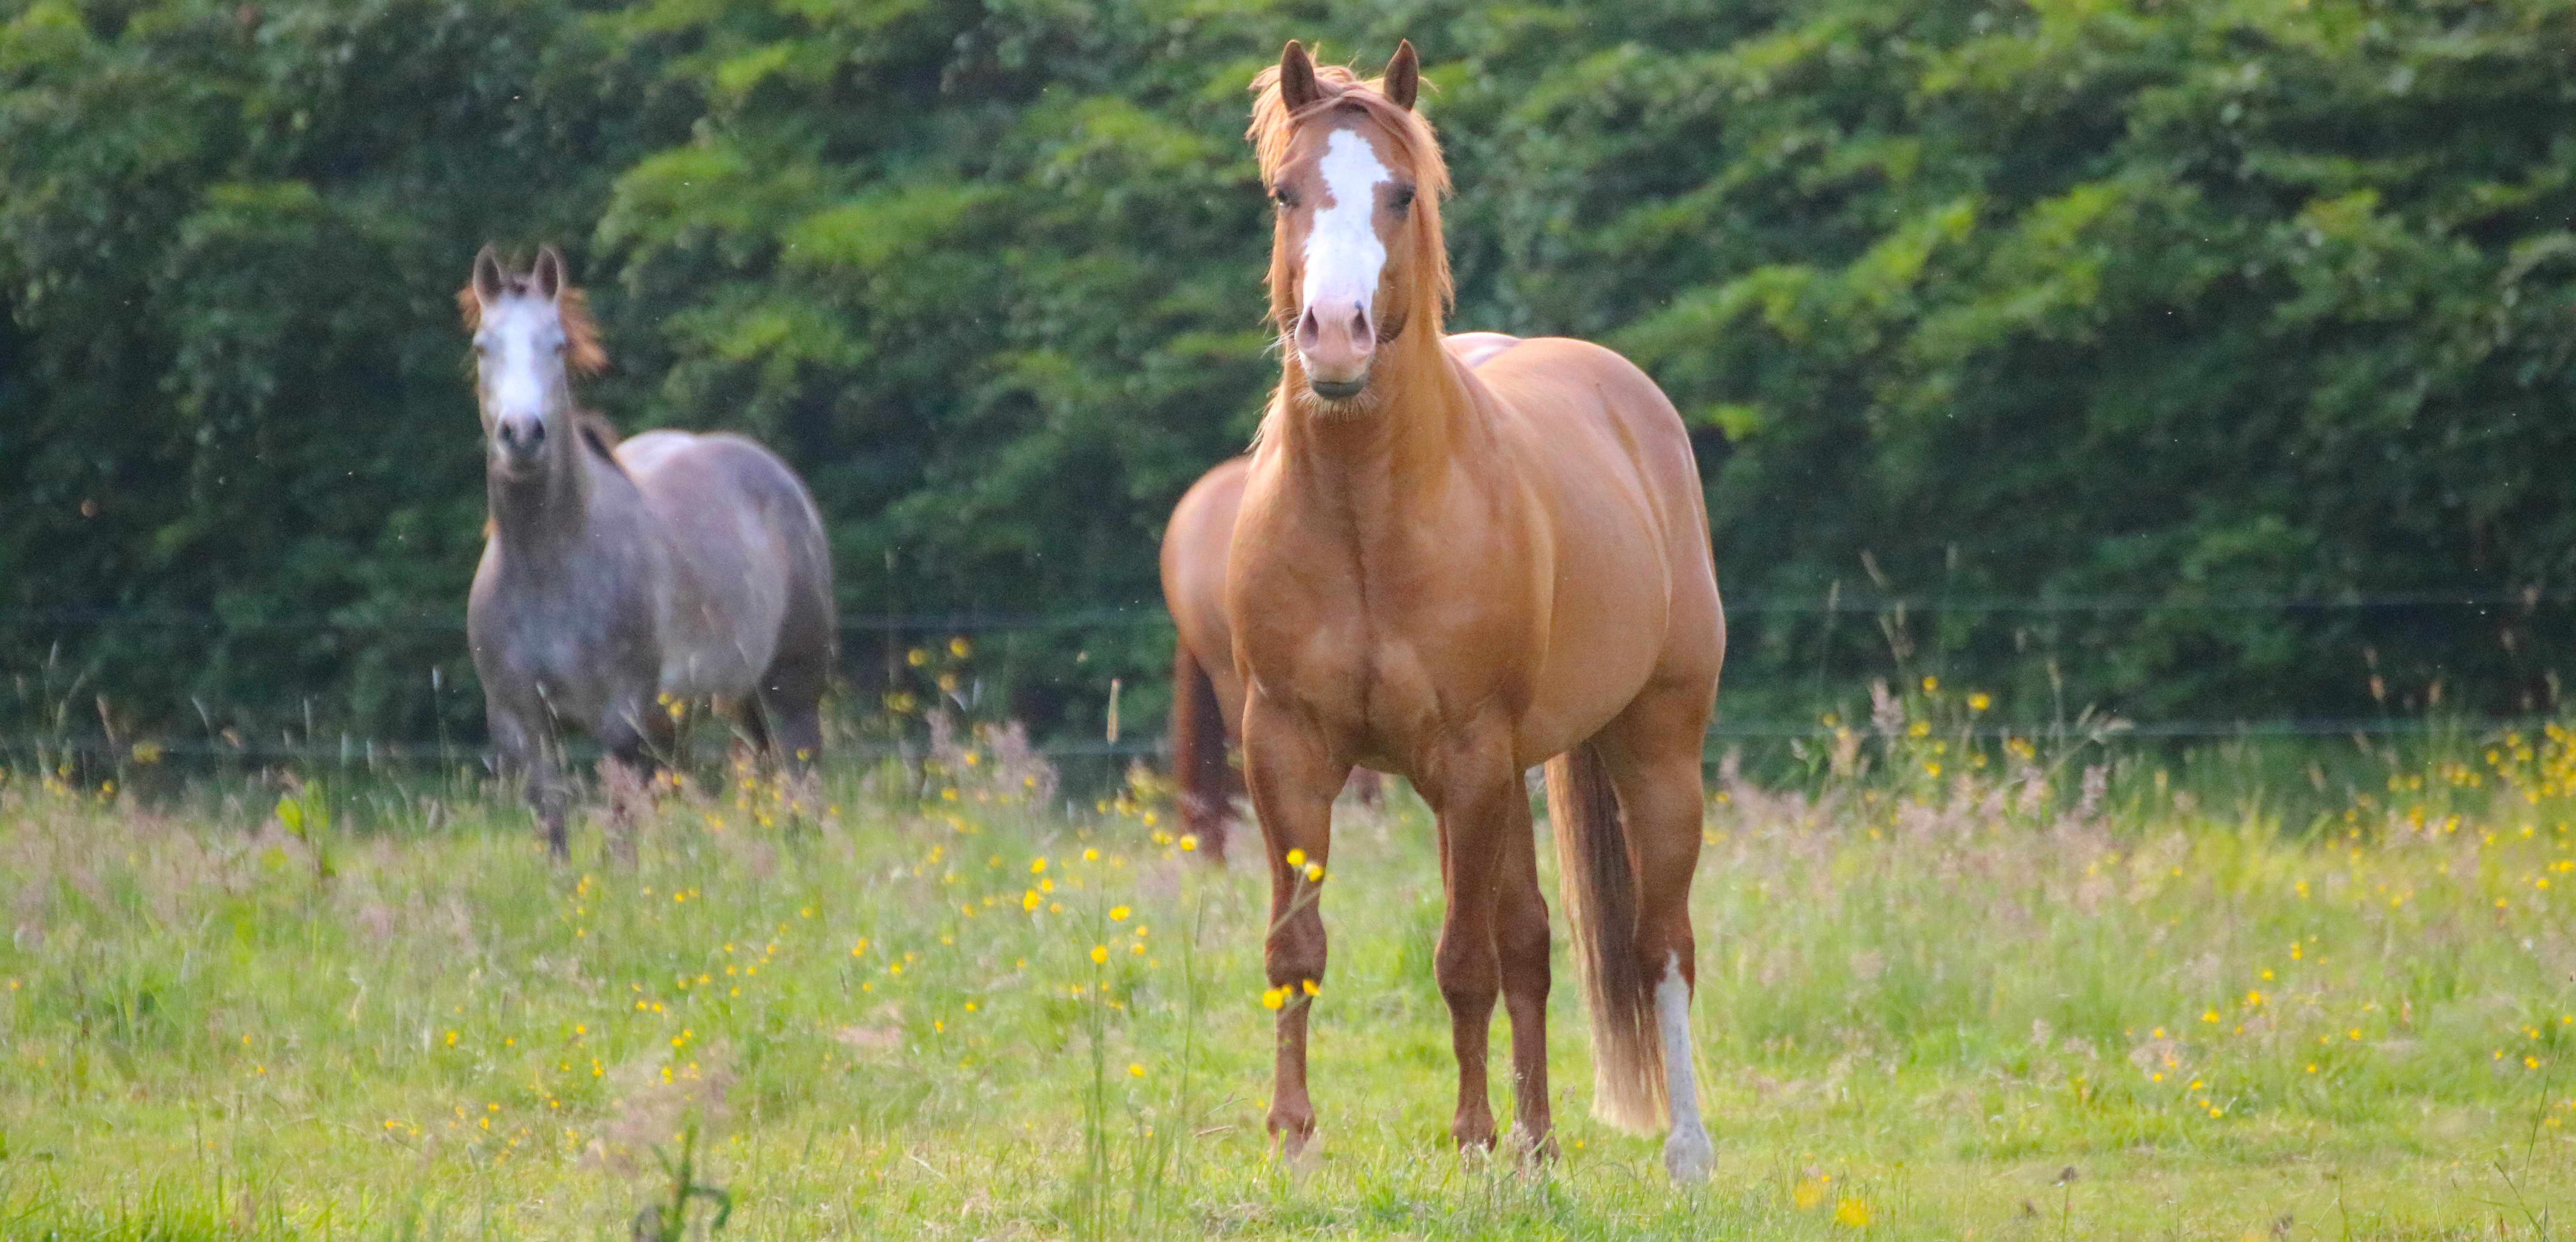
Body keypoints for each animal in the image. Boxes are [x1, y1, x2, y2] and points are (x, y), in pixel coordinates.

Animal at [460, 245, 837, 857]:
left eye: (557, 344)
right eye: (481, 346)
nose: (522, 434)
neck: (549, 567)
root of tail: (778, 477)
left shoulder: (624, 720)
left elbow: (620, 834)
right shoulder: (522, 725)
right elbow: (555, 832)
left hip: (791, 687)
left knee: (800, 780)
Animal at [1227, 43, 1726, 1181]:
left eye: (1402, 193)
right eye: (1285, 191)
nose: (1335, 337)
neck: (1368, 516)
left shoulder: (1464, 758)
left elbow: (1462, 961)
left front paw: (1469, 1139)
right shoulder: (1287, 748)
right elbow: (1296, 947)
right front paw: (1293, 1137)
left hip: (1653, 750)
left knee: (1660, 944)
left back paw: (1683, 1152)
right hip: (1509, 777)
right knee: (1534, 940)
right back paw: (1540, 1143)